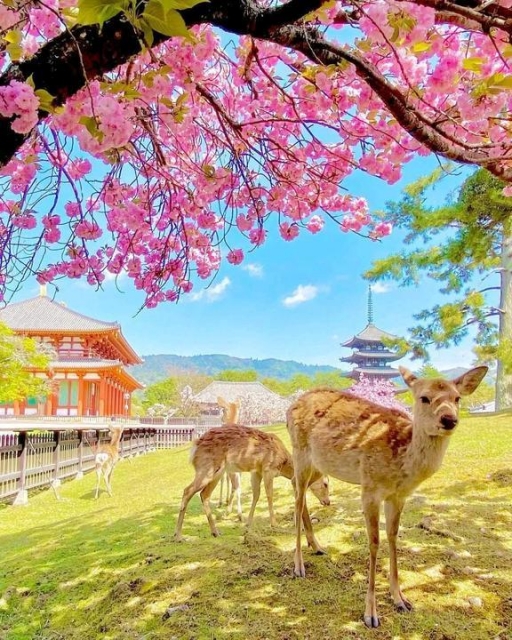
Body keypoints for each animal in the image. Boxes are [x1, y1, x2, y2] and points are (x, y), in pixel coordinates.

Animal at [174, 424, 330, 540]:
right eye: (326, 483)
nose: (328, 502)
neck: (283, 462)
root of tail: (194, 449)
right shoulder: (268, 469)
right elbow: (269, 495)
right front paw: (274, 524)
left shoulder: (256, 472)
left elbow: (256, 495)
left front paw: (248, 524)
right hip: (207, 468)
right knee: (188, 490)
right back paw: (178, 535)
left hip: (217, 472)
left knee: (204, 494)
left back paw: (215, 532)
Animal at [288, 368, 488, 628]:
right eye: (424, 398)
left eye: (457, 398)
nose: (449, 420)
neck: (402, 461)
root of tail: (291, 405)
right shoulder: (370, 488)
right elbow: (374, 542)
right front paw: (371, 614)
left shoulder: (398, 496)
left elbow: (393, 537)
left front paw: (401, 599)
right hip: (299, 451)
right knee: (297, 496)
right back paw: (299, 566)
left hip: (317, 464)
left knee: (297, 489)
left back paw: (317, 546)